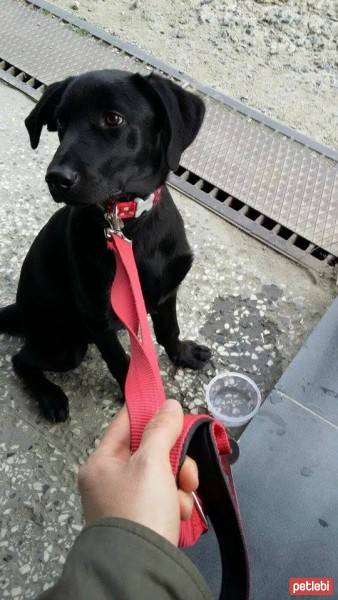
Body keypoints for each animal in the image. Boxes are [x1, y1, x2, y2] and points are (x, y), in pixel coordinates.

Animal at [0, 69, 210, 422]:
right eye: (61, 121)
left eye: (113, 118)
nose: (56, 178)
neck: (127, 226)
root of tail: (18, 309)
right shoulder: (97, 317)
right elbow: (121, 363)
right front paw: (138, 404)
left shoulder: (167, 292)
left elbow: (170, 330)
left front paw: (183, 354)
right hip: (67, 347)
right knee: (21, 360)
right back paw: (50, 396)